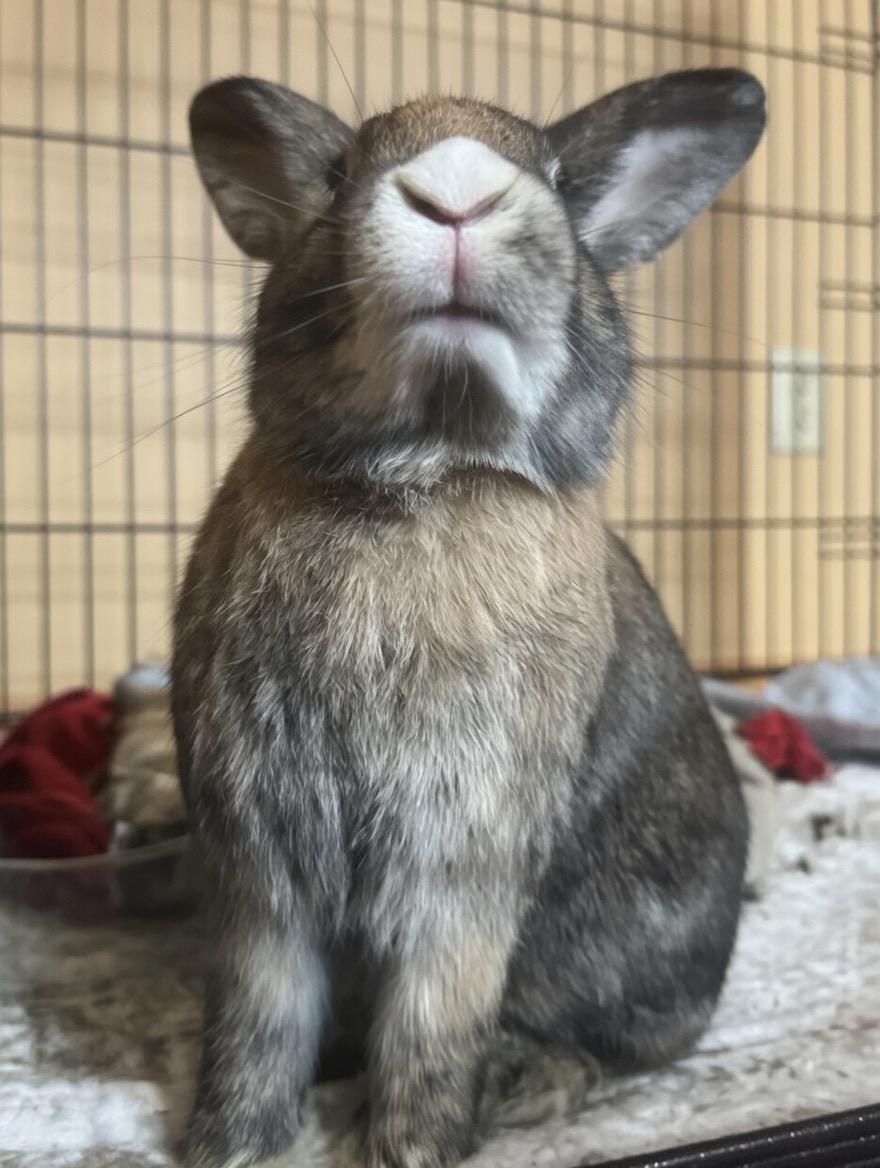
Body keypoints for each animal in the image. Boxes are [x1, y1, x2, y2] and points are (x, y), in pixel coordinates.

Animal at [173, 67, 766, 1168]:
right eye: (340, 174)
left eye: (559, 177)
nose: (455, 197)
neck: (428, 476)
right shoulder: (261, 867)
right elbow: (258, 1019)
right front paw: (228, 1149)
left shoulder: (462, 857)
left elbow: (433, 1023)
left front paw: (409, 1149)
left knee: (611, 1048)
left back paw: (526, 1081)